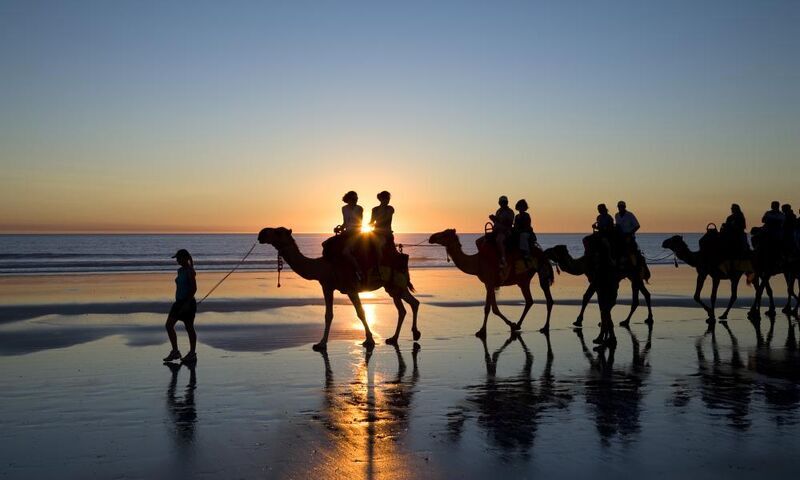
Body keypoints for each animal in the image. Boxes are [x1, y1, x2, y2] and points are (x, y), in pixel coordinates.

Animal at [258, 227, 422, 350]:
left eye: (278, 231)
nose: (261, 233)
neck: (324, 267)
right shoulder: (327, 286)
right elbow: (328, 315)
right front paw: (321, 343)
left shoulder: (350, 288)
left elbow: (361, 313)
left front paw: (369, 340)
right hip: (393, 287)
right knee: (408, 306)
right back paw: (397, 337)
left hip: (396, 283)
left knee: (407, 305)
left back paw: (409, 334)